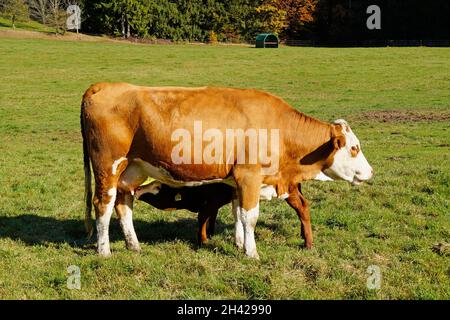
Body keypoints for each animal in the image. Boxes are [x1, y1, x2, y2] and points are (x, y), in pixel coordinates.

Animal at [81, 82, 372, 258]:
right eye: (354, 148)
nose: (370, 173)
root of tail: (105, 86)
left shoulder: (237, 182)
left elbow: (237, 214)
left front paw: (240, 244)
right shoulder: (250, 176)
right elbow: (250, 216)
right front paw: (252, 253)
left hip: (133, 168)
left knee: (123, 203)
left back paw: (134, 245)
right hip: (108, 165)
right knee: (103, 204)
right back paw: (104, 251)